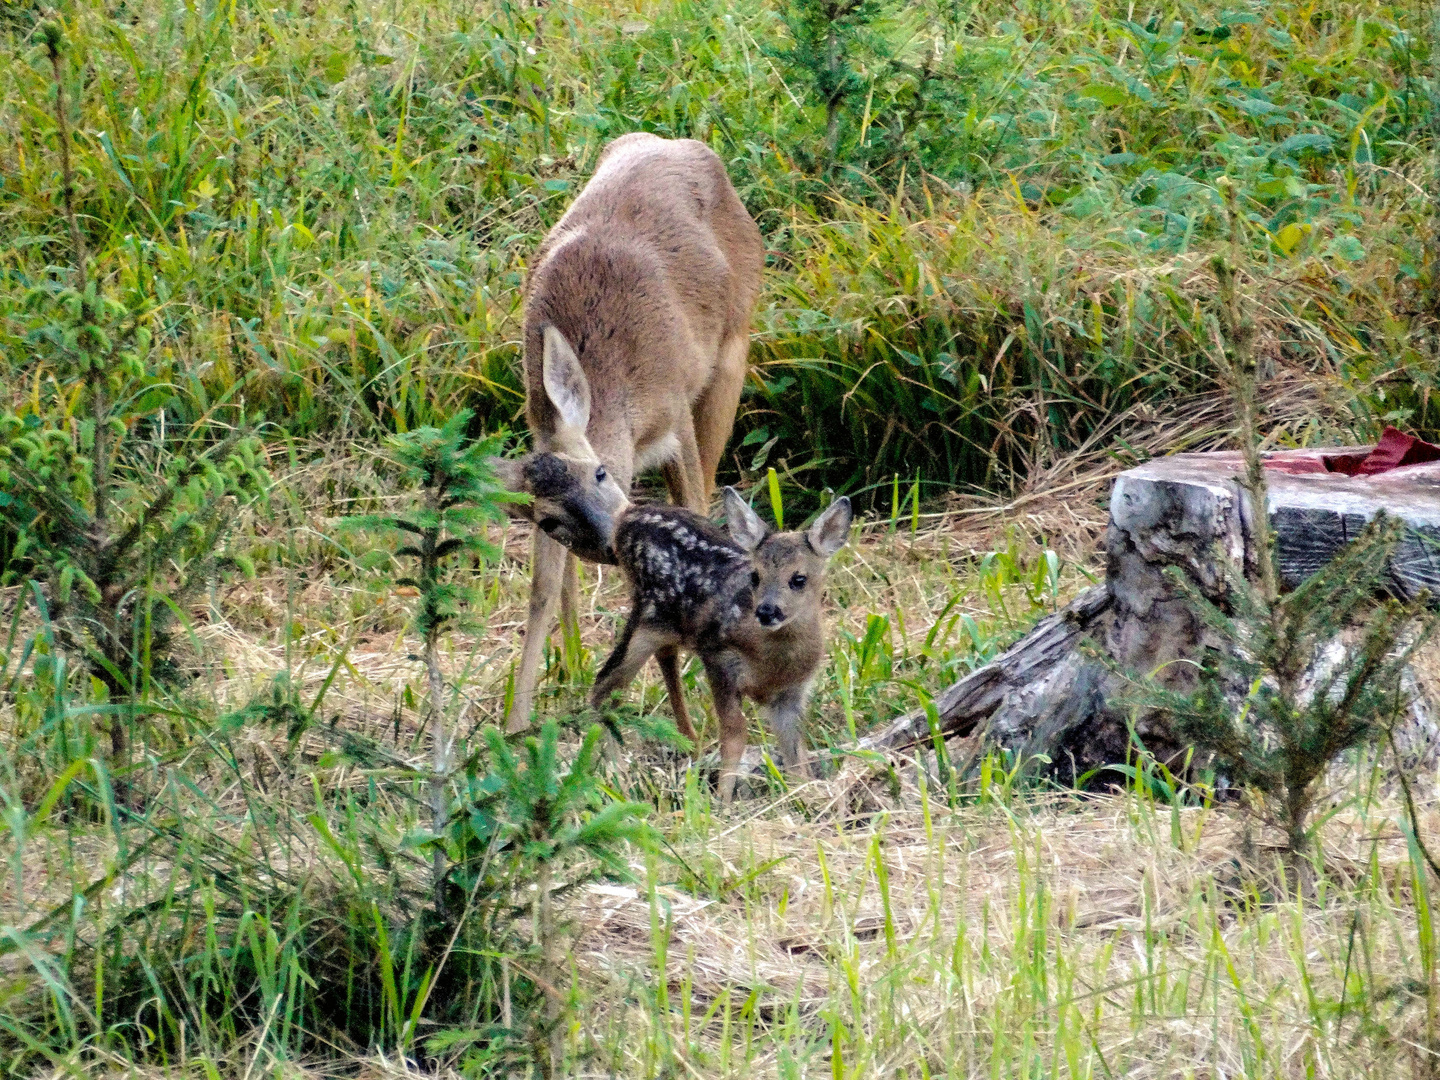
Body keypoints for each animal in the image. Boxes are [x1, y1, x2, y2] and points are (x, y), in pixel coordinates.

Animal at [495, 131, 766, 731]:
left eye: (601, 473)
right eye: (549, 519)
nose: (607, 539)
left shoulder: (675, 415)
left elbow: (695, 507)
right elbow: (542, 589)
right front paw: (517, 723)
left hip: (731, 354)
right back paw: (572, 662)